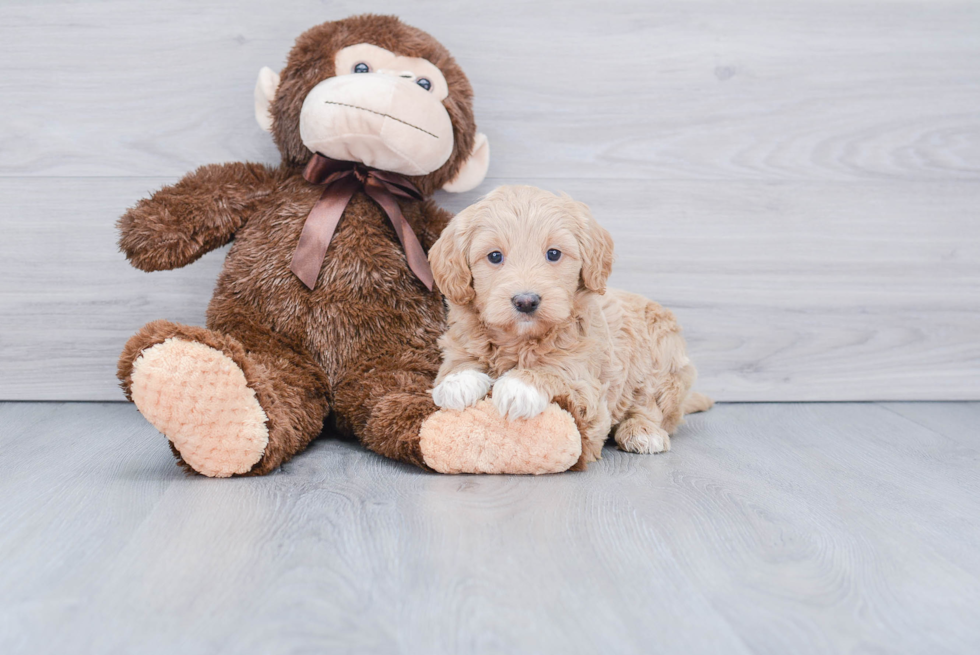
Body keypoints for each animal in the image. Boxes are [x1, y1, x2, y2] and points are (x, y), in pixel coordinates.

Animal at [428, 183, 712, 462]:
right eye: (495, 256)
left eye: (554, 254)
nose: (526, 301)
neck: (520, 340)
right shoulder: (460, 342)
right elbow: (457, 365)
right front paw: (457, 382)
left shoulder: (588, 384)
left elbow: (559, 371)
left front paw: (520, 385)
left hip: (663, 357)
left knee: (652, 408)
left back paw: (642, 431)